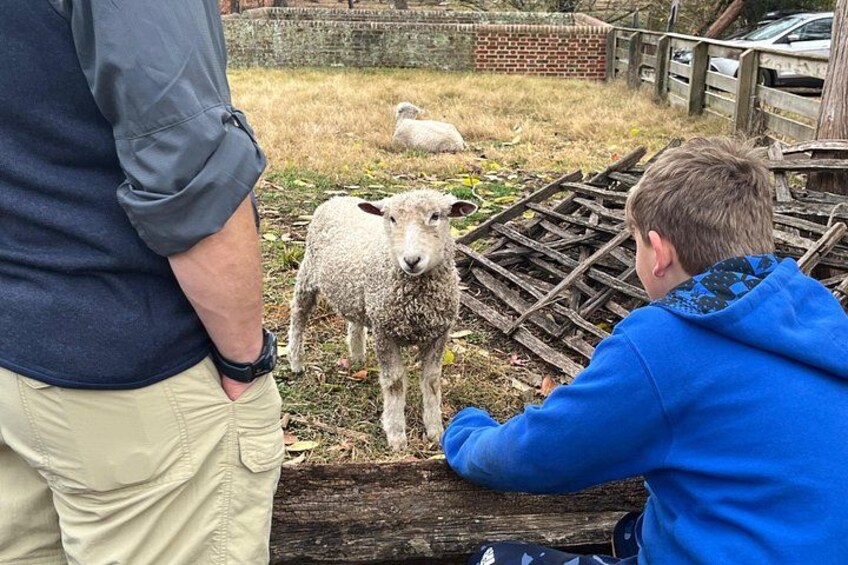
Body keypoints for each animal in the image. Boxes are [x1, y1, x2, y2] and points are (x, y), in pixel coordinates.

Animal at [287, 190, 477, 450]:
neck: (417, 299)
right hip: (308, 274)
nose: (412, 260)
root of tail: (338, 198)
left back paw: (357, 357)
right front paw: (396, 434)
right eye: (392, 218)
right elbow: (394, 383)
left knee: (355, 322)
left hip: (358, 294)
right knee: (299, 314)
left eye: (436, 216)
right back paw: (295, 361)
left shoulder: (439, 333)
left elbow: (431, 381)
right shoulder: (384, 331)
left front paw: (435, 430)